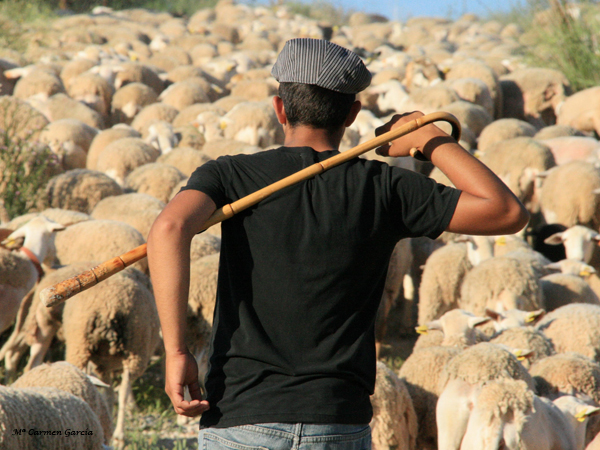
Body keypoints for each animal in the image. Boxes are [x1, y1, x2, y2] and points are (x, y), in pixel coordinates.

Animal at [62, 266, 159, 448]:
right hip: (136, 351)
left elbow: (107, 395)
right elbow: (115, 394)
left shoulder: (103, 365)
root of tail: (108, 307)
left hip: (79, 347)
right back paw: (120, 436)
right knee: (122, 392)